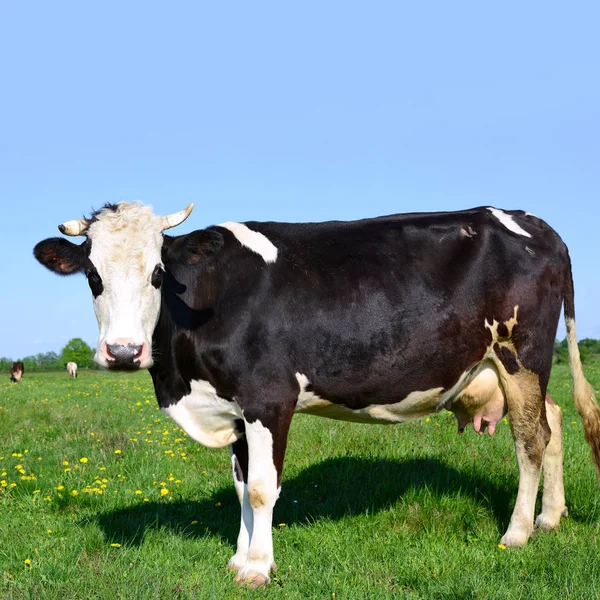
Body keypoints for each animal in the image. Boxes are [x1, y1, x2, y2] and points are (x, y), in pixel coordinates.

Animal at [32, 202, 600, 584]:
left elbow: (263, 488)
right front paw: (238, 557)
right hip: (519, 367)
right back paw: (550, 518)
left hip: (520, 351)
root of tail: (532, 221)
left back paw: (518, 533)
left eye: (156, 273)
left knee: (529, 439)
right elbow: (240, 487)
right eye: (92, 274)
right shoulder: (234, 408)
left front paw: (258, 568)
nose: (123, 351)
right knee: (550, 425)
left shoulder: (268, 399)